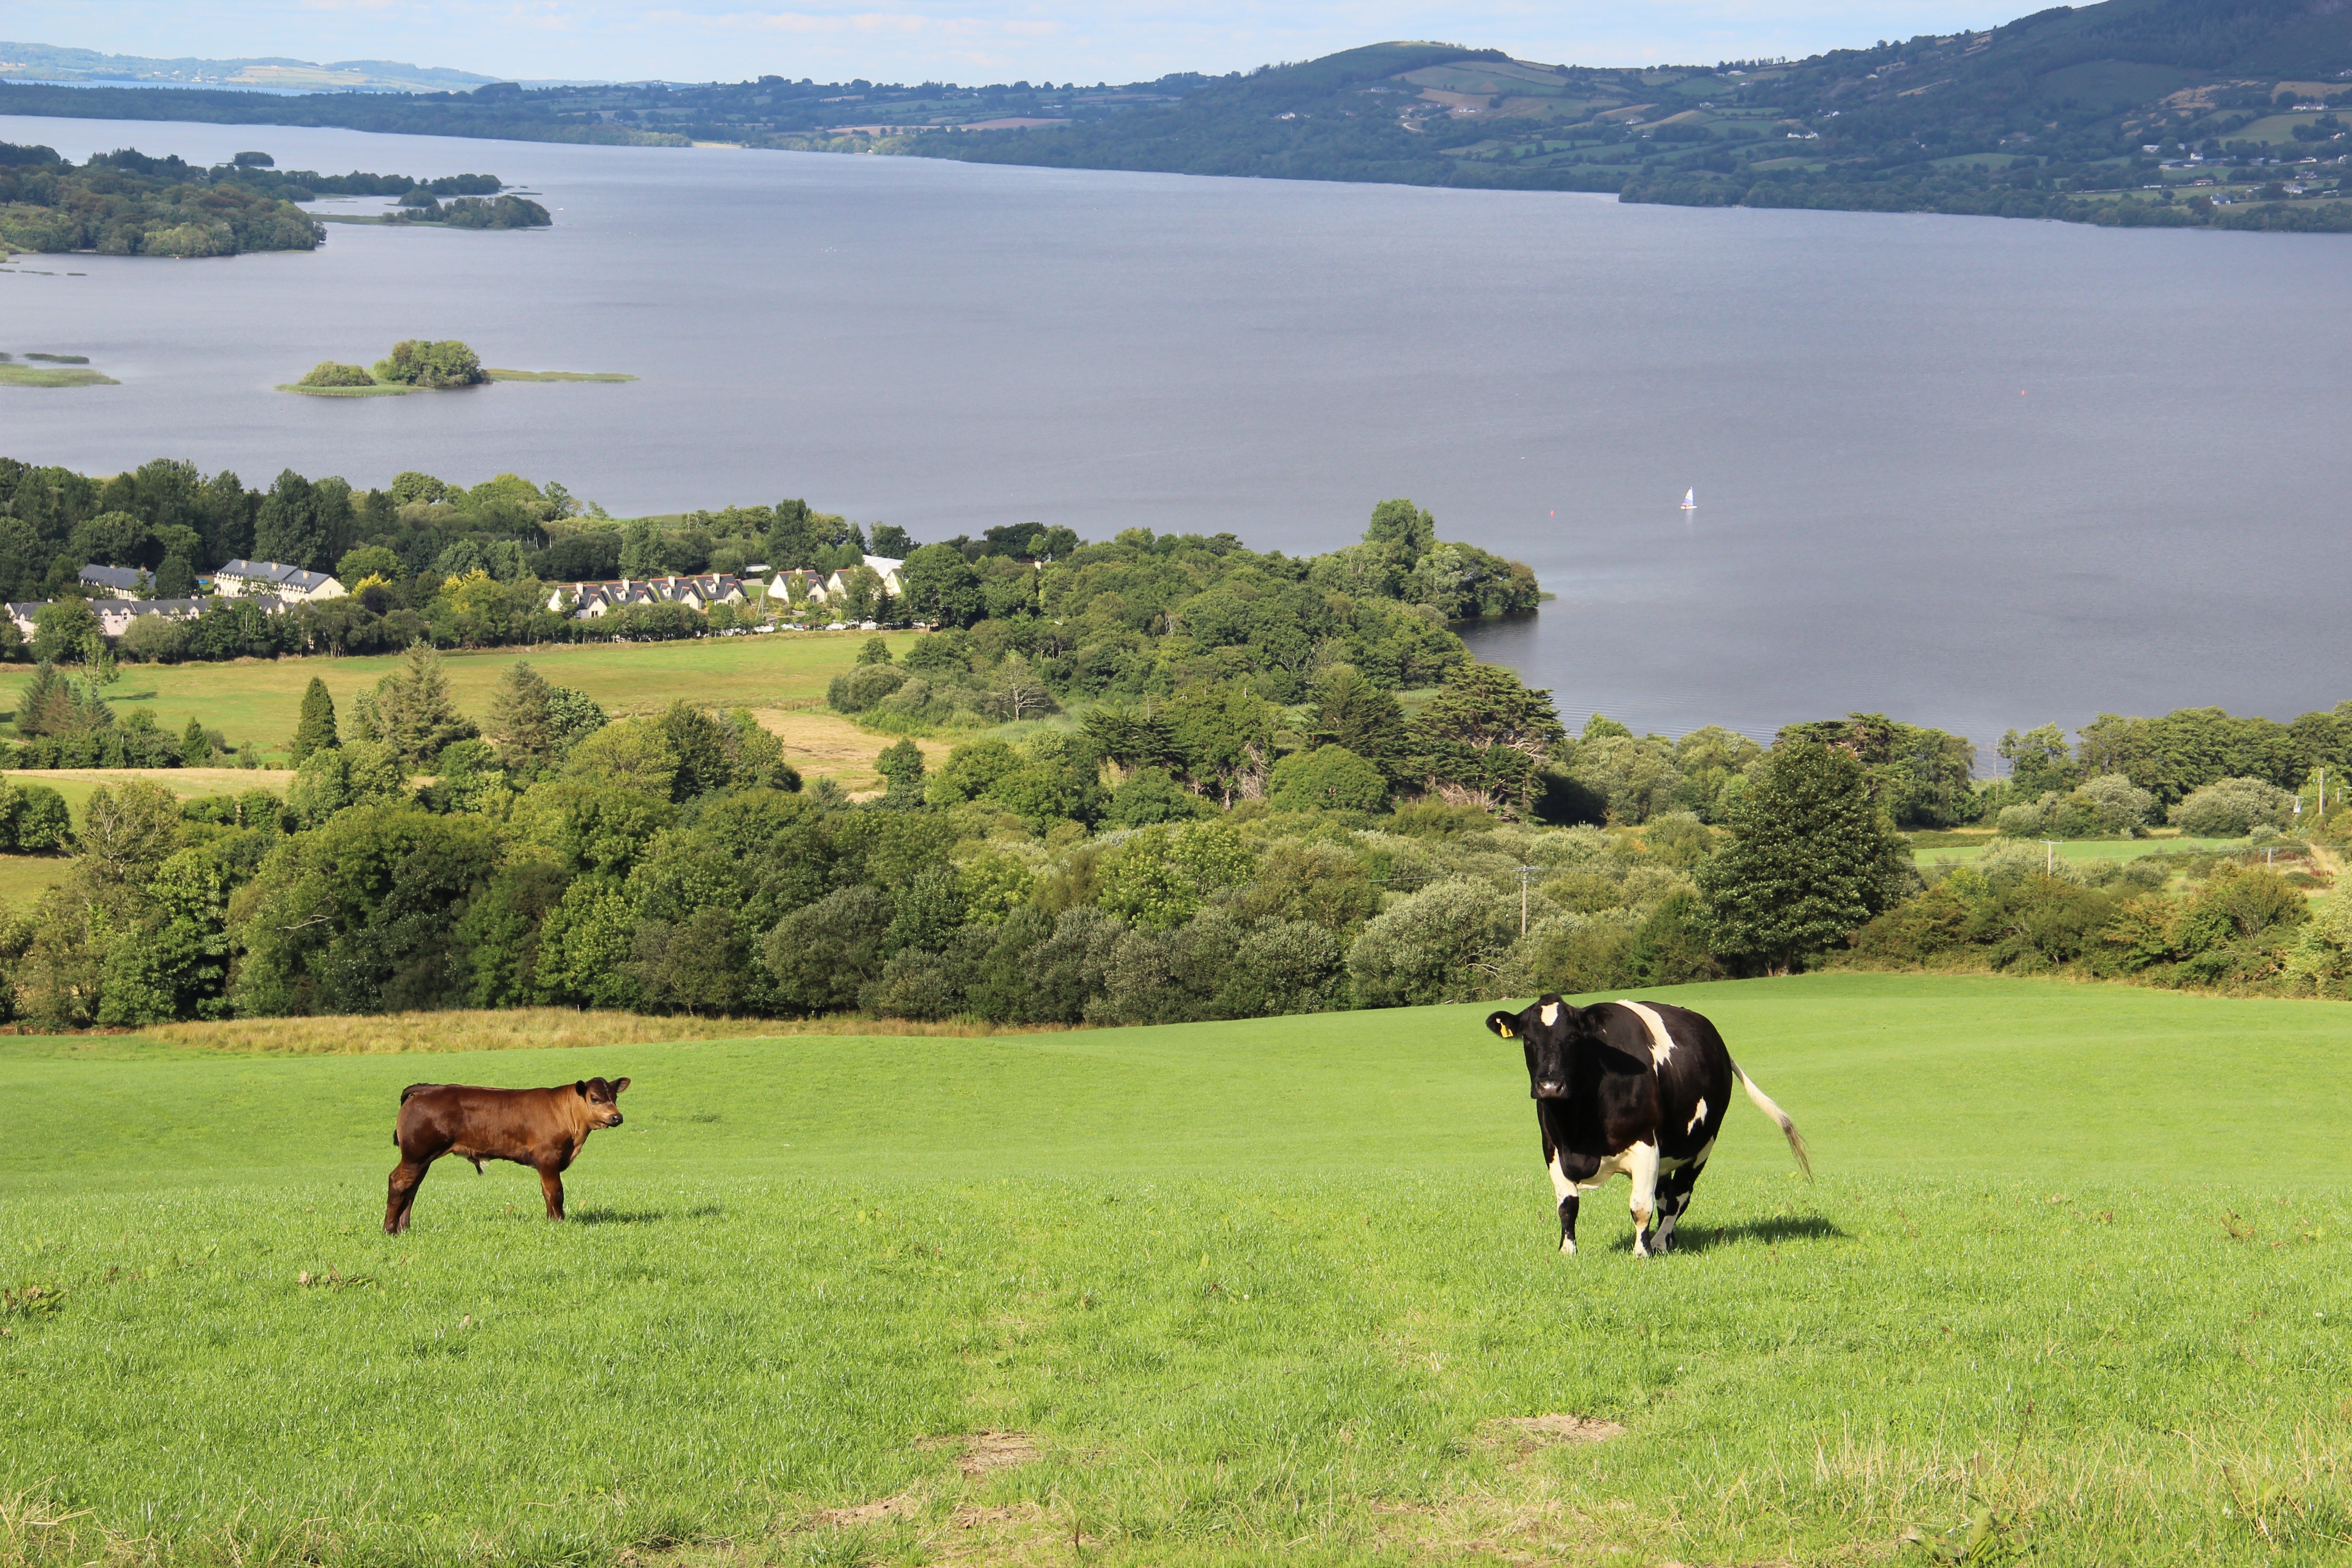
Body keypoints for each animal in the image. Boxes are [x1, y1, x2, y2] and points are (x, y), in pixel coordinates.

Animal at [384, 1077, 630, 1234]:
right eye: (595, 1098)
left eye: (615, 1097)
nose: (617, 1118)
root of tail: (426, 1089)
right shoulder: (548, 1156)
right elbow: (556, 1193)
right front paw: (559, 1223)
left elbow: (546, 1192)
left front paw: (551, 1221)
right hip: (416, 1154)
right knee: (398, 1183)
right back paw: (390, 1230)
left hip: (422, 1158)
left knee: (412, 1188)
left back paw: (404, 1228)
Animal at [1485, 996, 1807, 1258]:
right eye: (1528, 1039)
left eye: (1574, 1037)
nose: (1550, 1086)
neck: (1579, 1130)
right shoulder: (1553, 1149)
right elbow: (1567, 1206)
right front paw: (1568, 1251)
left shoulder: (1646, 1146)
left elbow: (1641, 1206)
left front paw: (1642, 1253)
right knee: (1665, 1197)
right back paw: (1668, 1239)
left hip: (1702, 1146)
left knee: (1679, 1197)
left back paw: (1661, 1242)